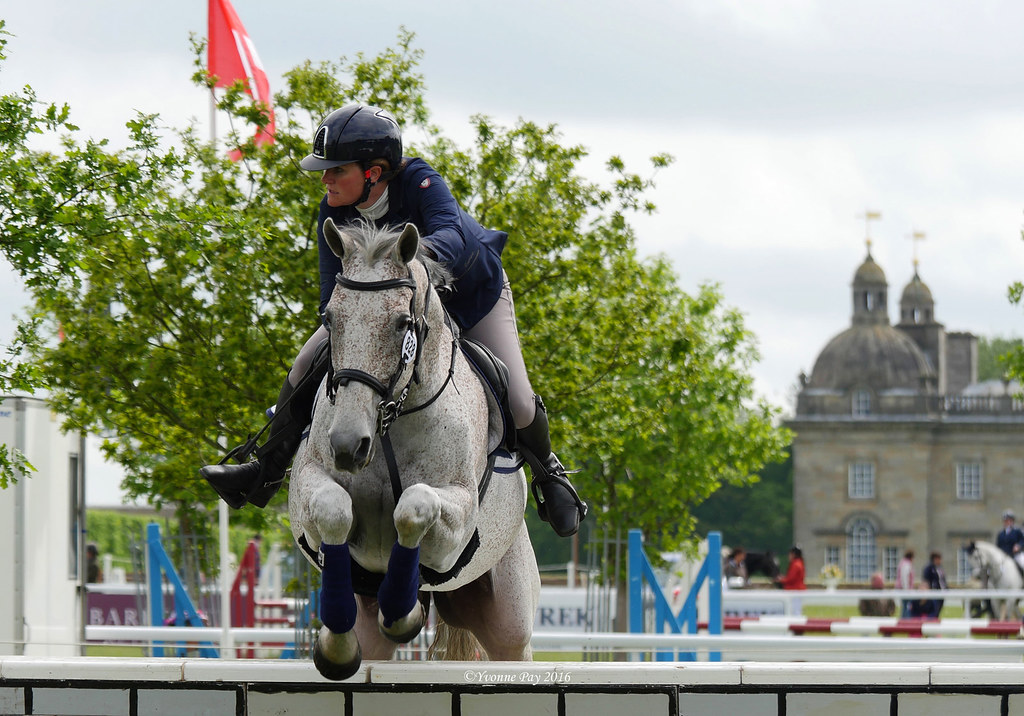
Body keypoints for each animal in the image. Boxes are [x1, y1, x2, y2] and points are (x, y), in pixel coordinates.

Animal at [288, 219, 540, 680]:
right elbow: (335, 509)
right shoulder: (309, 485)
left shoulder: (457, 519)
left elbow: (414, 506)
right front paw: (336, 648)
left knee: (511, 643)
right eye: (330, 319)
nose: (348, 445)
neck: (392, 422)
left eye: (402, 322)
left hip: (511, 625)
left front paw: (402, 612)